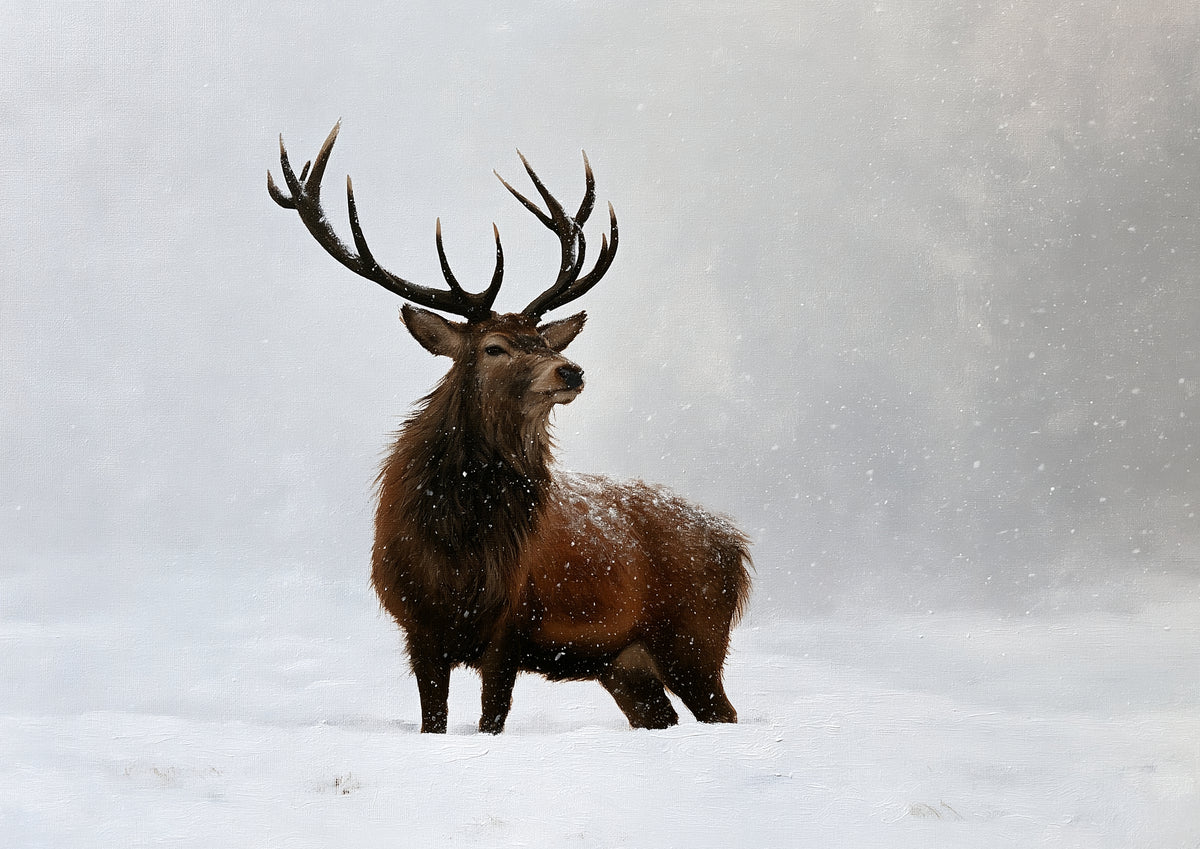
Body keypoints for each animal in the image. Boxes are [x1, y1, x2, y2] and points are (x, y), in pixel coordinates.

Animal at [268, 122, 751, 734]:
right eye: (494, 347)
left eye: (543, 340)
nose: (570, 369)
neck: (457, 550)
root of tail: (737, 545)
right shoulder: (417, 627)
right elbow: (433, 722)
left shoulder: (512, 625)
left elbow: (491, 720)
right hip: (625, 664)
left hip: (695, 638)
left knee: (725, 712)